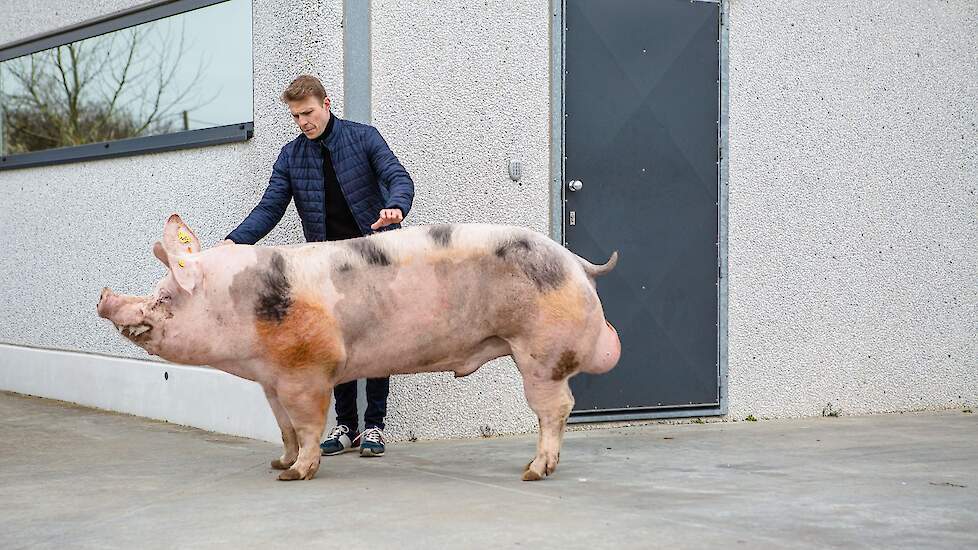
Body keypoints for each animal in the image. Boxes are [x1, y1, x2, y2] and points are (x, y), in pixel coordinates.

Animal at [99, 216, 616, 484]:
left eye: (165, 297)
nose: (103, 295)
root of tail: (577, 262)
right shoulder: (271, 380)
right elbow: (284, 427)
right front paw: (278, 463)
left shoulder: (306, 368)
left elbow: (308, 425)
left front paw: (294, 475)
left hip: (540, 354)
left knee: (556, 408)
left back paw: (532, 472)